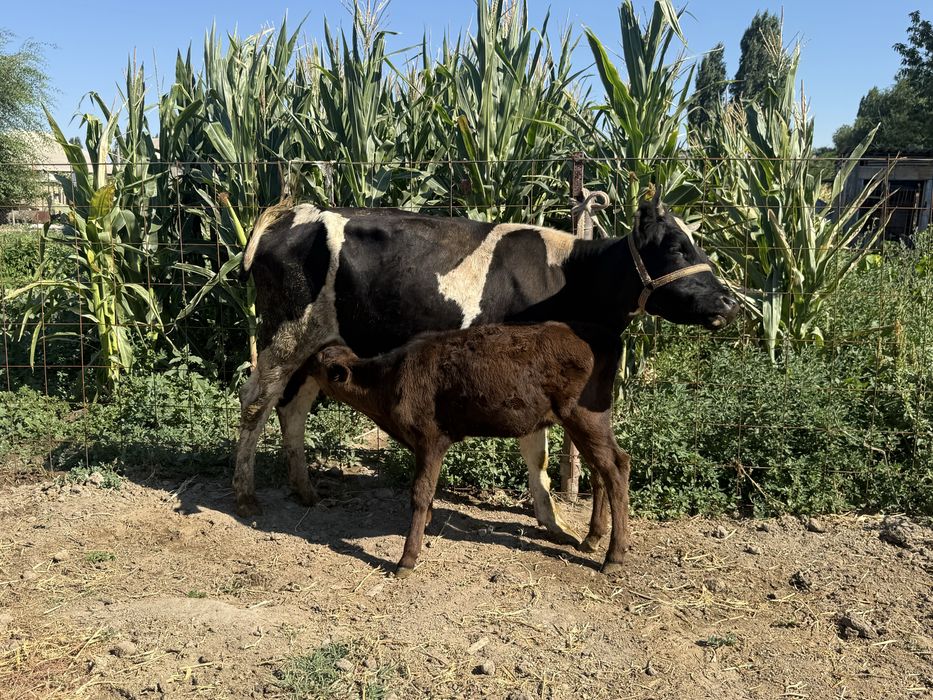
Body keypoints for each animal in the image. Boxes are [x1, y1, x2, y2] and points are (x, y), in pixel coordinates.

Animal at [233, 191, 740, 546]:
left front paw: (552, 521)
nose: (730, 302)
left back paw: (305, 489)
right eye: (675, 247)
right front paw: (554, 519)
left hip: (316, 345)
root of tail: (291, 214)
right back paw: (245, 495)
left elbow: (538, 452)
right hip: (285, 334)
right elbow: (534, 448)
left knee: (292, 408)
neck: (571, 275)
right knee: (256, 401)